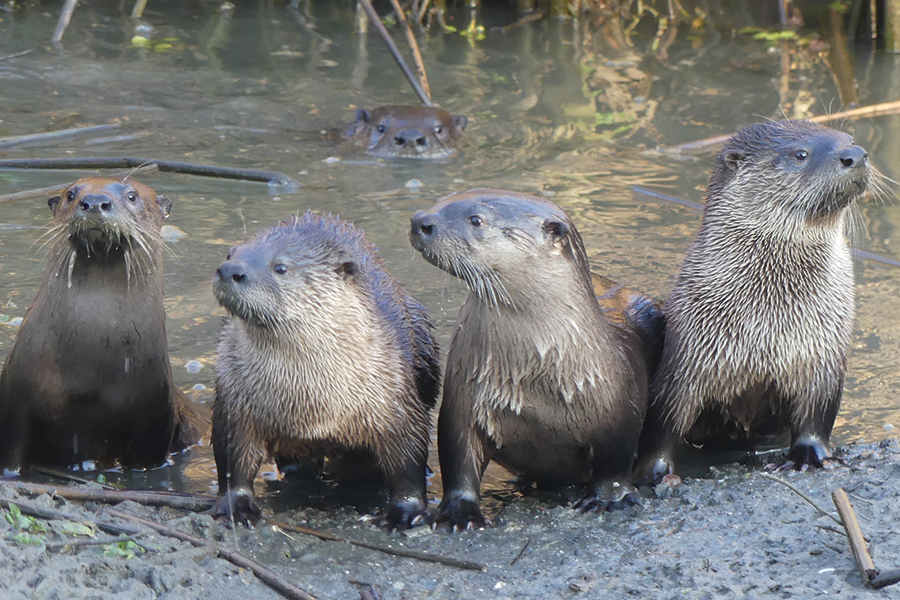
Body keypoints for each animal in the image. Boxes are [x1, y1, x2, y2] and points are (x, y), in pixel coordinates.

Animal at [0, 177, 199, 471]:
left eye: (132, 195)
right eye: (71, 194)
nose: (94, 201)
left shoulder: (154, 421)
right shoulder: (15, 401)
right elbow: (10, 452)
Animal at [211, 212, 440, 530]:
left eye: (280, 267)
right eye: (229, 254)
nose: (230, 269)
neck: (312, 403)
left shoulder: (394, 397)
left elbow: (408, 461)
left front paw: (405, 513)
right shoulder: (234, 399)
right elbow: (232, 460)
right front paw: (237, 508)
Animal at [410, 190, 657, 530]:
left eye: (476, 220)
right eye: (442, 199)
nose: (420, 220)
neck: (535, 377)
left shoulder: (620, 407)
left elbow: (615, 463)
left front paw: (608, 500)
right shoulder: (463, 401)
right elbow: (459, 459)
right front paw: (459, 513)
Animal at [634, 120, 872, 485]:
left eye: (850, 139)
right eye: (800, 154)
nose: (856, 155)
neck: (768, 321)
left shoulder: (824, 356)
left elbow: (816, 417)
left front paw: (810, 456)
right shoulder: (686, 356)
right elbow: (663, 419)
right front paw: (654, 472)